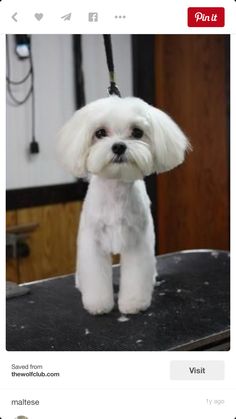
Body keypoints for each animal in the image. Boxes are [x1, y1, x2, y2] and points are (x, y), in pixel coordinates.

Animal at [57, 96, 190, 316]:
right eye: (100, 133)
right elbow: (94, 275)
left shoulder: (138, 240)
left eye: (137, 132)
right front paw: (98, 304)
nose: (119, 146)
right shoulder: (93, 242)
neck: (116, 191)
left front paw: (133, 303)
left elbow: (136, 274)